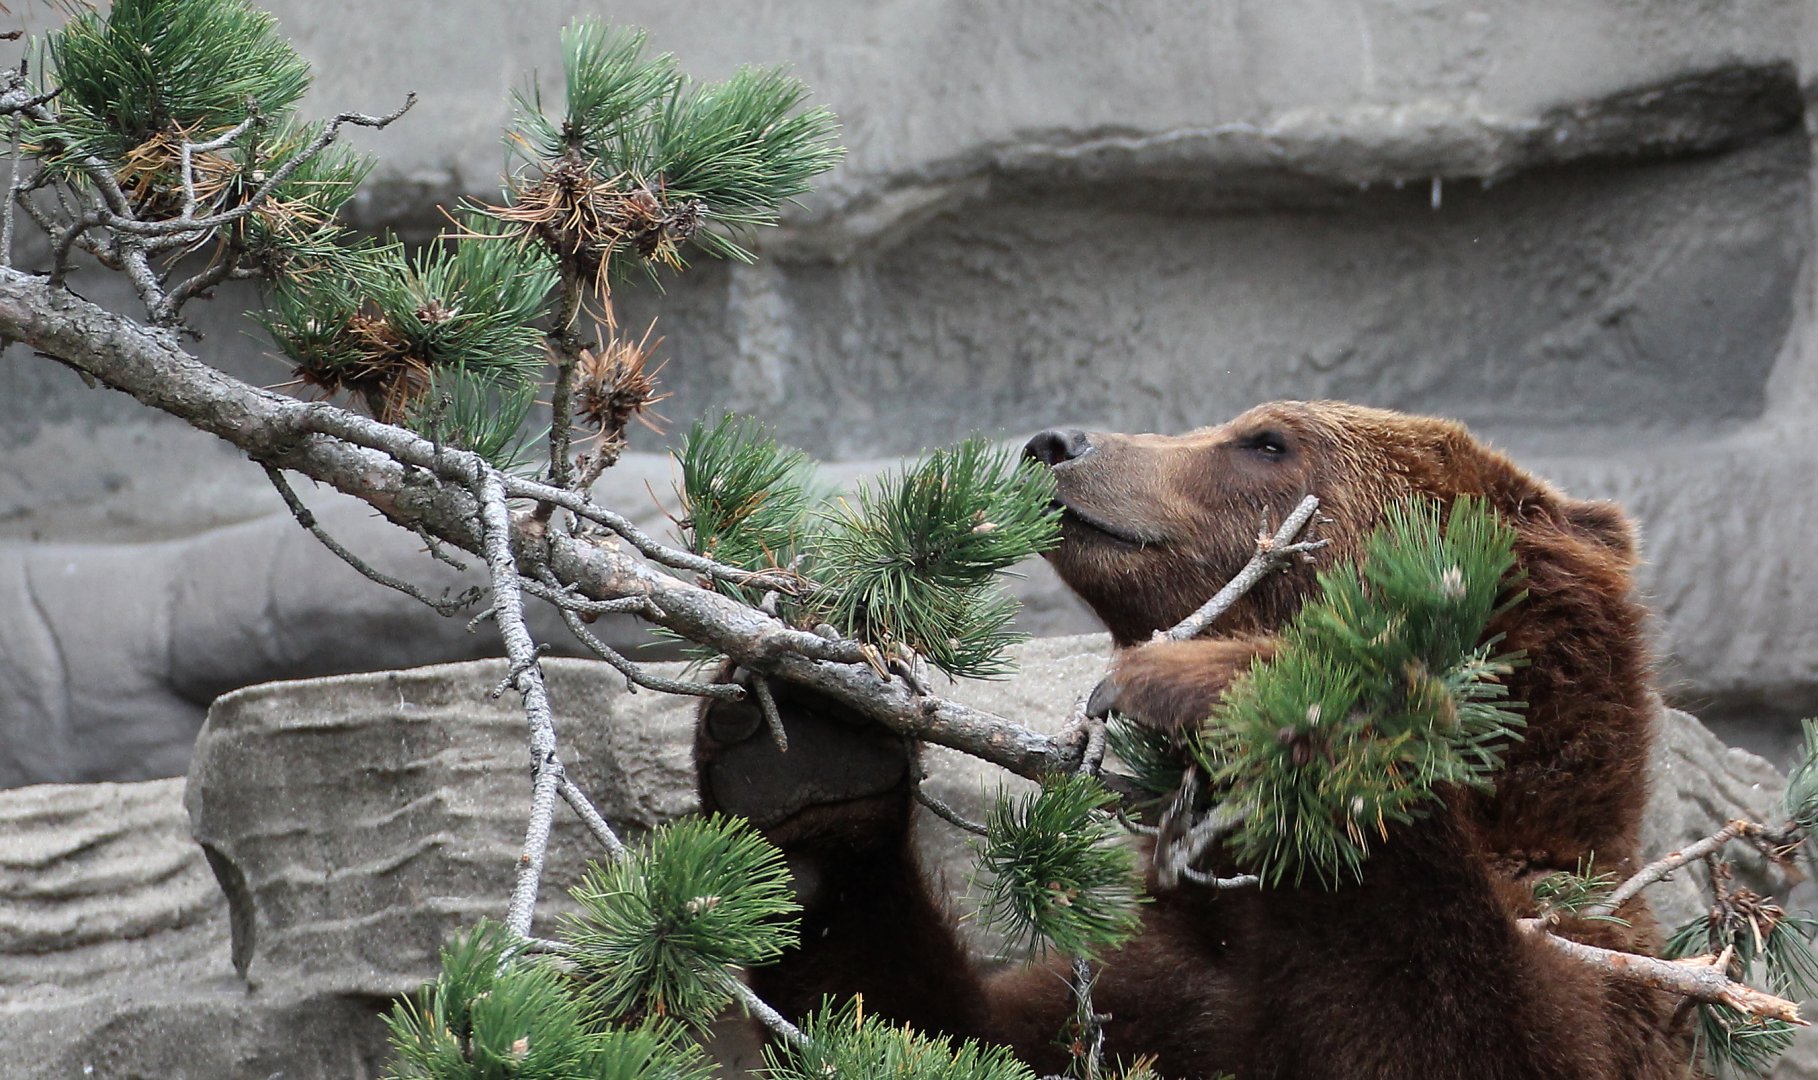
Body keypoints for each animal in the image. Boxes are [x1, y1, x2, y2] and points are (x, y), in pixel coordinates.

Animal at [696, 401, 1690, 1079]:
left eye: (1266, 441)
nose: (1058, 442)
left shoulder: (1604, 972)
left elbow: (1450, 1017)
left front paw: (1237, 689)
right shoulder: (1147, 996)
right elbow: (928, 1027)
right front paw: (809, 748)